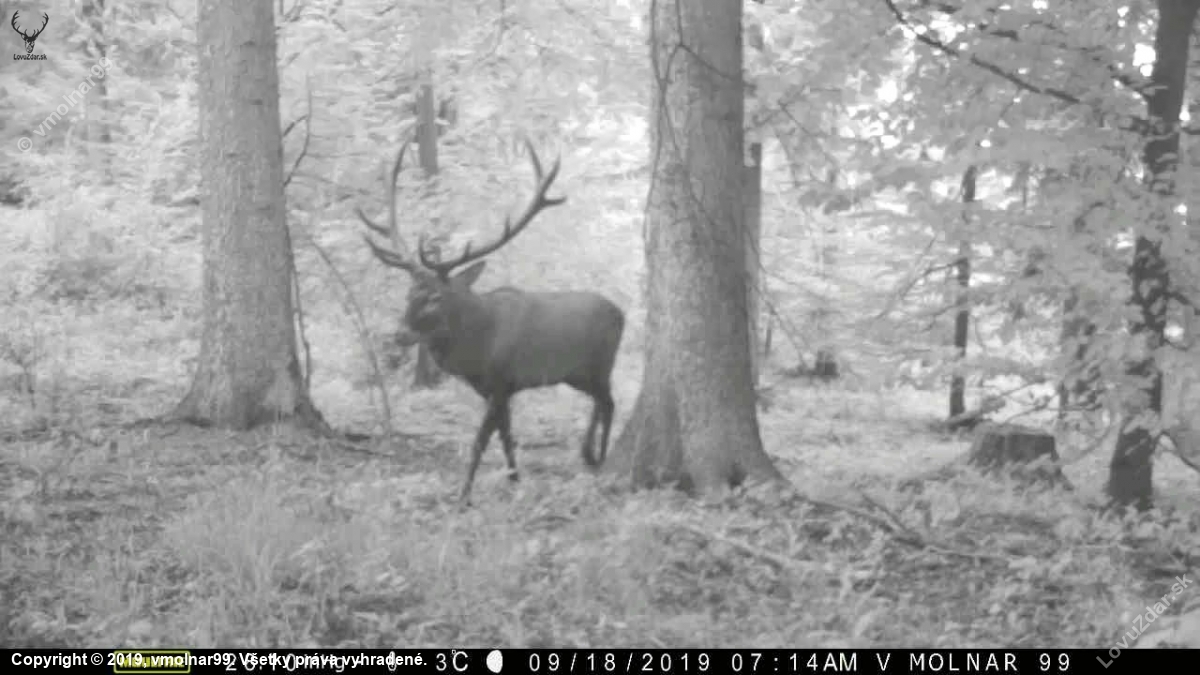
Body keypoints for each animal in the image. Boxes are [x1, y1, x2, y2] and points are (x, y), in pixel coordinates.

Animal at [357, 139, 625, 503]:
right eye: (409, 292)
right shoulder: (496, 390)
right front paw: (514, 480)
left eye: (435, 298)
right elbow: (506, 435)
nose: (400, 335)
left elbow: (481, 440)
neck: (476, 351)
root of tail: (621, 314)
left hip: (600, 362)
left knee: (609, 402)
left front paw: (463, 497)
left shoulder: (501, 382)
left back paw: (597, 457)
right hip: (577, 373)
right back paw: (587, 453)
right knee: (600, 401)